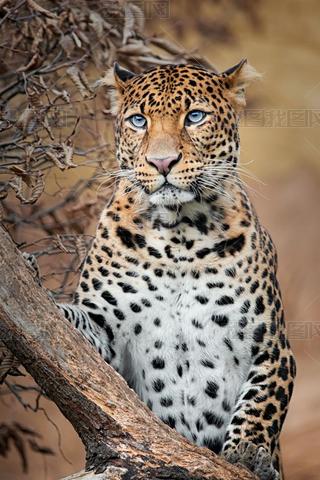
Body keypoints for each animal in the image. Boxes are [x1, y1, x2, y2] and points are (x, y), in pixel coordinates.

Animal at [53, 60, 296, 480]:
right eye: (138, 120)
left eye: (195, 116)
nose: (162, 162)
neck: (180, 234)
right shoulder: (105, 335)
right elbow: (76, 329)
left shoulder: (272, 349)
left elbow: (260, 404)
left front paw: (249, 452)